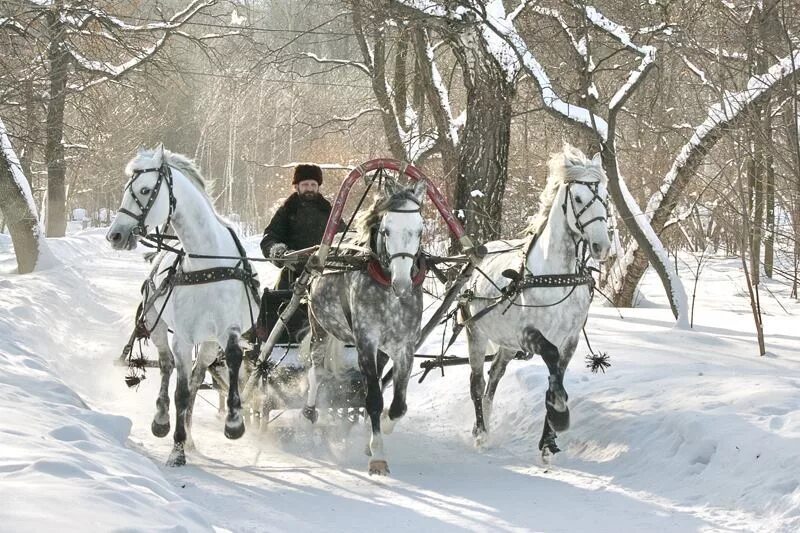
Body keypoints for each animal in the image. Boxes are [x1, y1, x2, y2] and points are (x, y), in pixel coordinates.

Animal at [108, 145, 258, 466]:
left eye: (145, 189)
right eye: (126, 190)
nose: (115, 235)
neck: (207, 263)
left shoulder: (227, 330)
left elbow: (233, 359)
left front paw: (234, 421)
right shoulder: (184, 338)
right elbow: (180, 391)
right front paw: (176, 448)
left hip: (209, 343)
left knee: (198, 378)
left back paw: (190, 435)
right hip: (158, 326)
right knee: (166, 367)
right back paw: (163, 421)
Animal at [462, 143, 612, 460]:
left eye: (604, 197)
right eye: (578, 198)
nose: (601, 246)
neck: (556, 276)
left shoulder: (569, 339)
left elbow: (558, 375)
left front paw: (548, 439)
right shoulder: (529, 335)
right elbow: (551, 360)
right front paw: (559, 412)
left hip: (506, 344)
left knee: (493, 379)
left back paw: (488, 420)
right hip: (475, 333)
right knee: (477, 383)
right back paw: (480, 432)